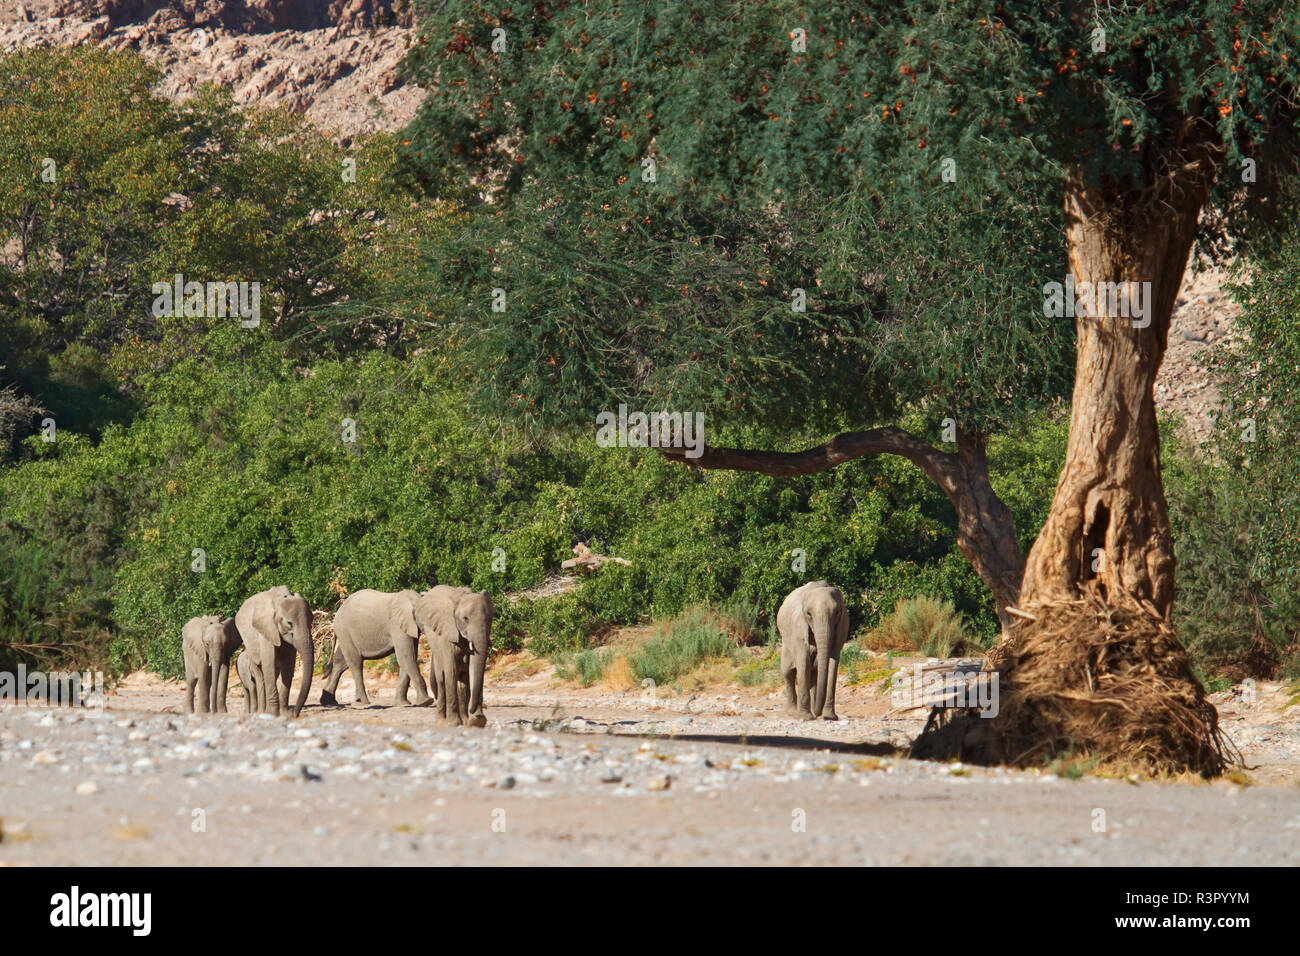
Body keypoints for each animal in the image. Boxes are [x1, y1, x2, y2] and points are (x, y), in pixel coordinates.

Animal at [233, 582, 314, 717]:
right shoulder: (266, 628)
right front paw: (272, 714)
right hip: (248, 646)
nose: (295, 714)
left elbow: (288, 665)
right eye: (289, 623)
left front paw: (285, 714)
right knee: (260, 673)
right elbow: (268, 662)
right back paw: (261, 712)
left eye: (311, 621)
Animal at [410, 587, 491, 728]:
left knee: (463, 680)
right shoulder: (448, 638)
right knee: (442, 679)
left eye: (489, 619)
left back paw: (463, 720)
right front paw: (454, 723)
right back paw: (442, 722)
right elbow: (451, 671)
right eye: (465, 618)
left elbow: (473, 673)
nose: (476, 714)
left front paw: (475, 722)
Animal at [774, 580, 847, 723]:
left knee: (813, 675)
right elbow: (803, 664)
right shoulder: (799, 630)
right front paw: (806, 717)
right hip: (785, 639)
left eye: (837, 612)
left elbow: (833, 665)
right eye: (808, 614)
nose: (818, 714)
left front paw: (830, 717)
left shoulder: (841, 628)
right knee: (788, 672)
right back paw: (792, 712)